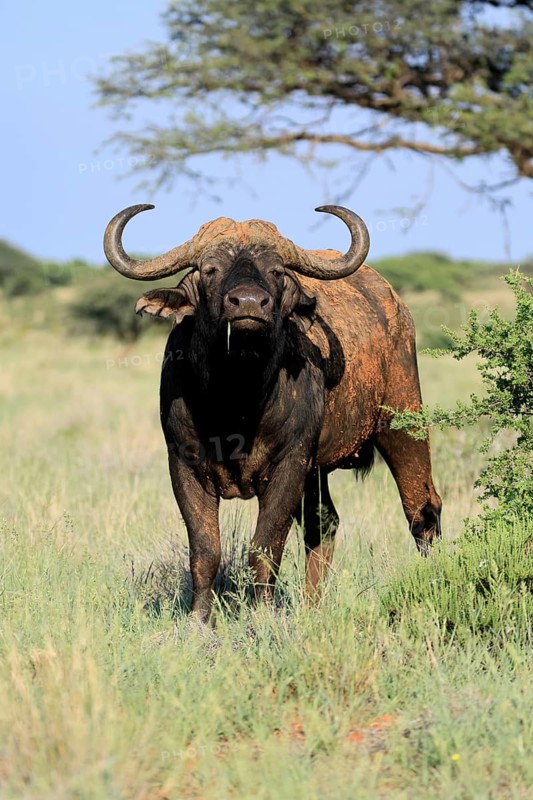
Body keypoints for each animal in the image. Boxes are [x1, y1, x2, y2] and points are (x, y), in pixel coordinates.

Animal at [104, 204, 442, 621]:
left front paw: (261, 618)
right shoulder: (184, 465)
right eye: (210, 269)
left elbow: (264, 549)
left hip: (404, 420)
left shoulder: (289, 465)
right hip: (318, 471)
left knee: (422, 511)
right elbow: (205, 552)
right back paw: (312, 607)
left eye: (277, 271)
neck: (235, 400)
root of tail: (396, 308)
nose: (249, 304)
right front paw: (199, 620)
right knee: (324, 524)